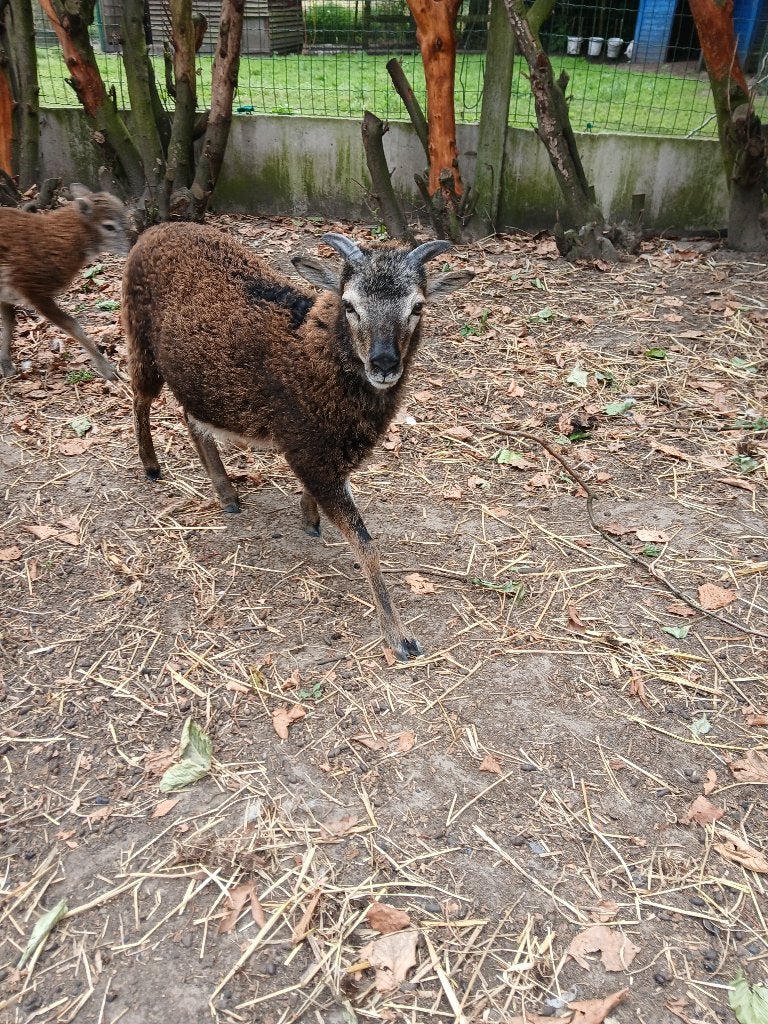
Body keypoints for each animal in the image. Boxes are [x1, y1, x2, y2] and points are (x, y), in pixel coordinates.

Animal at [0, 184, 132, 380]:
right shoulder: (35, 292)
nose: (129, 248)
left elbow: (9, 325)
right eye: (109, 226)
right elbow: (72, 325)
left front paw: (7, 368)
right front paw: (108, 371)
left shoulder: (7, 296)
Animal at [122, 223, 473, 660]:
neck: (315, 354)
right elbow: (366, 545)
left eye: (417, 307)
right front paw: (400, 638)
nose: (384, 365)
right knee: (139, 397)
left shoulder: (329, 454)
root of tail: (157, 229)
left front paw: (310, 521)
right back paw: (151, 465)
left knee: (191, 418)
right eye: (349, 305)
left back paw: (227, 495)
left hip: (198, 380)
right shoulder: (309, 452)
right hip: (139, 337)